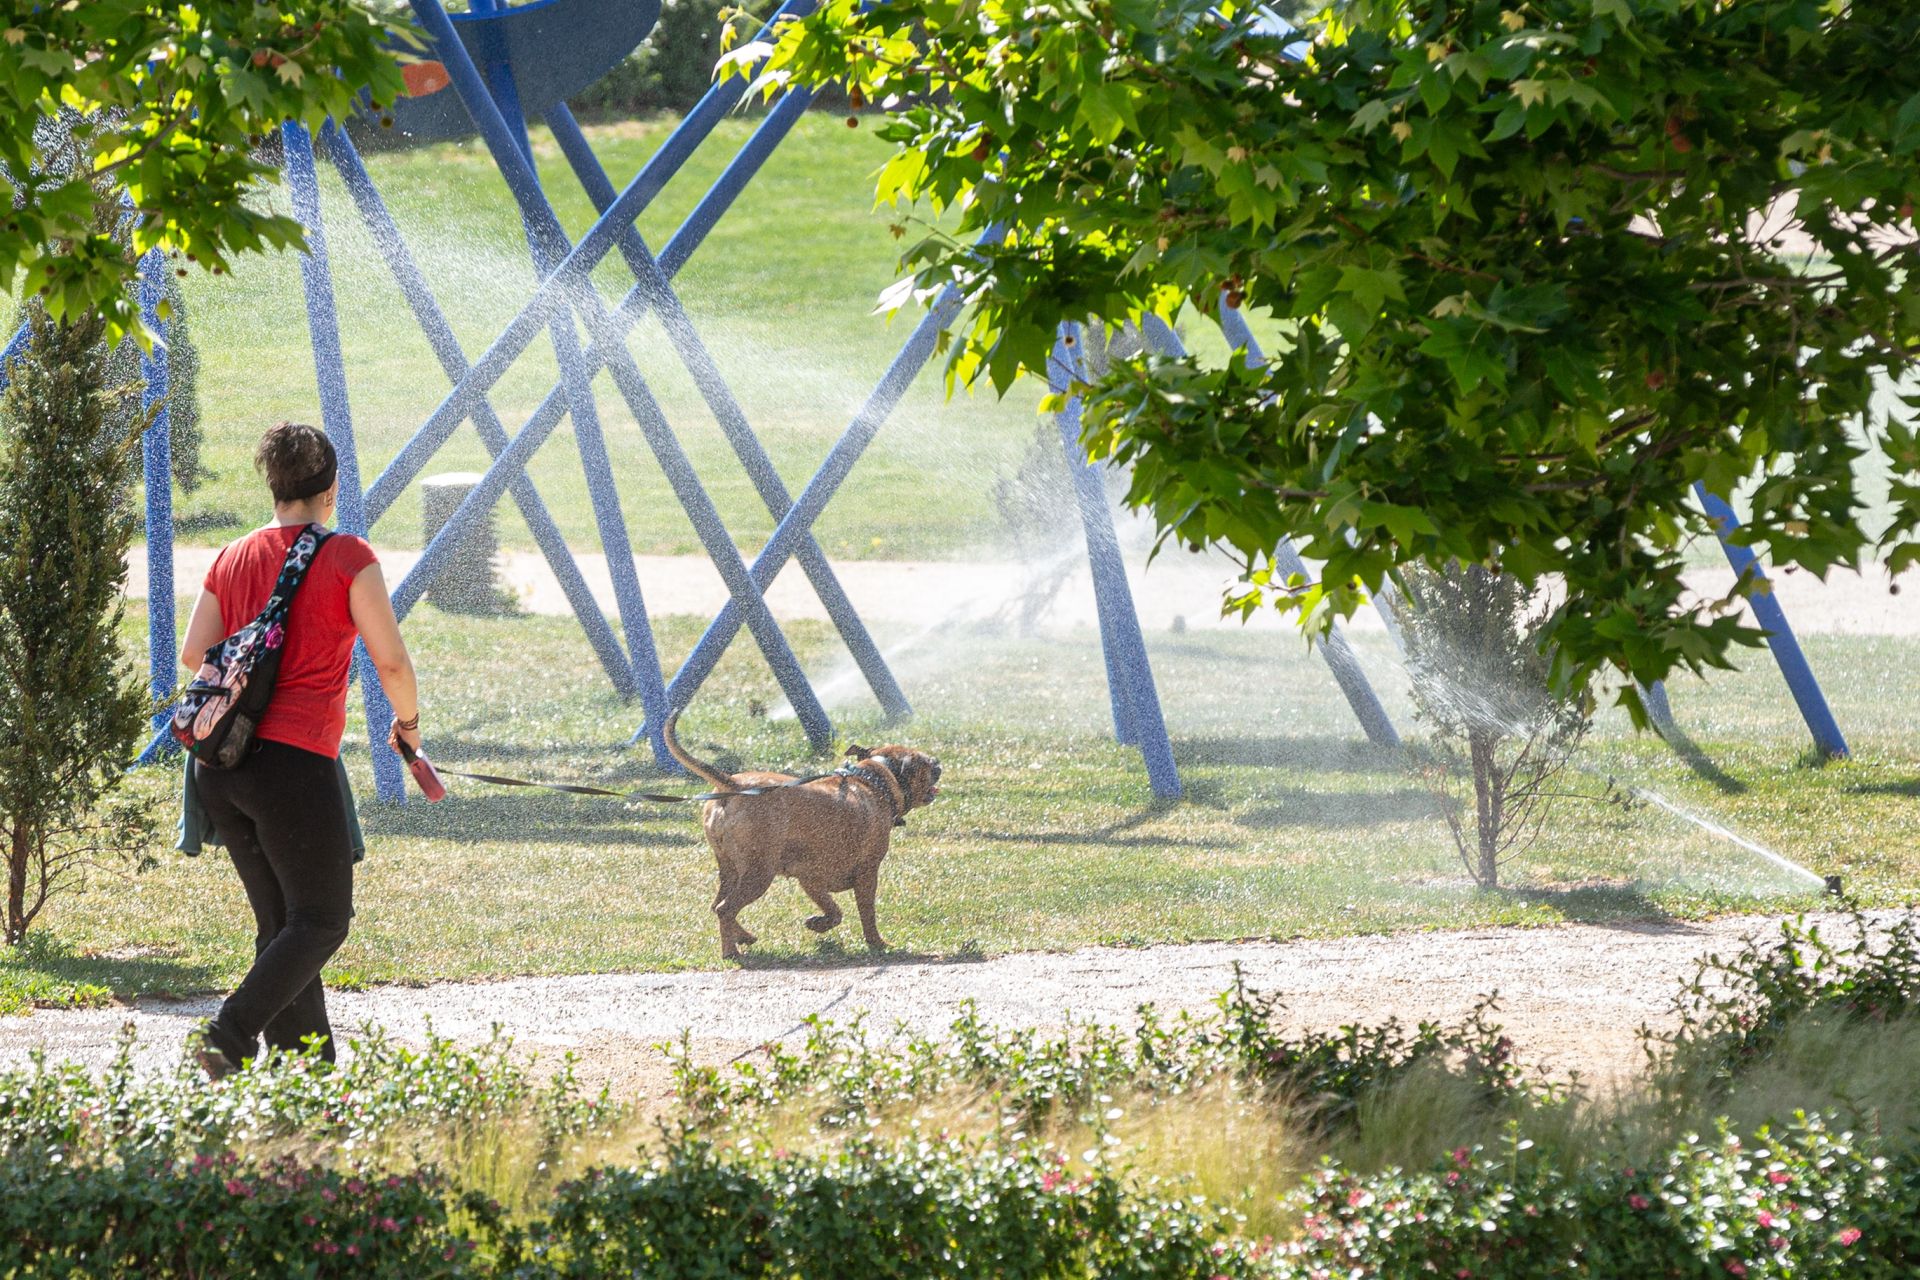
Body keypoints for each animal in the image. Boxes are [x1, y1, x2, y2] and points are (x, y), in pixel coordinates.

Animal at [664, 717, 940, 955]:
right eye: (925, 763)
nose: (938, 761)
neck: (875, 780)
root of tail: (734, 785)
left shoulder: (810, 878)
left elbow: (834, 910)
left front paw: (818, 923)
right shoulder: (867, 873)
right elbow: (866, 913)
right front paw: (877, 943)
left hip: (730, 869)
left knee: (717, 906)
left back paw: (743, 936)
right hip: (758, 873)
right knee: (725, 908)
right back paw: (731, 952)